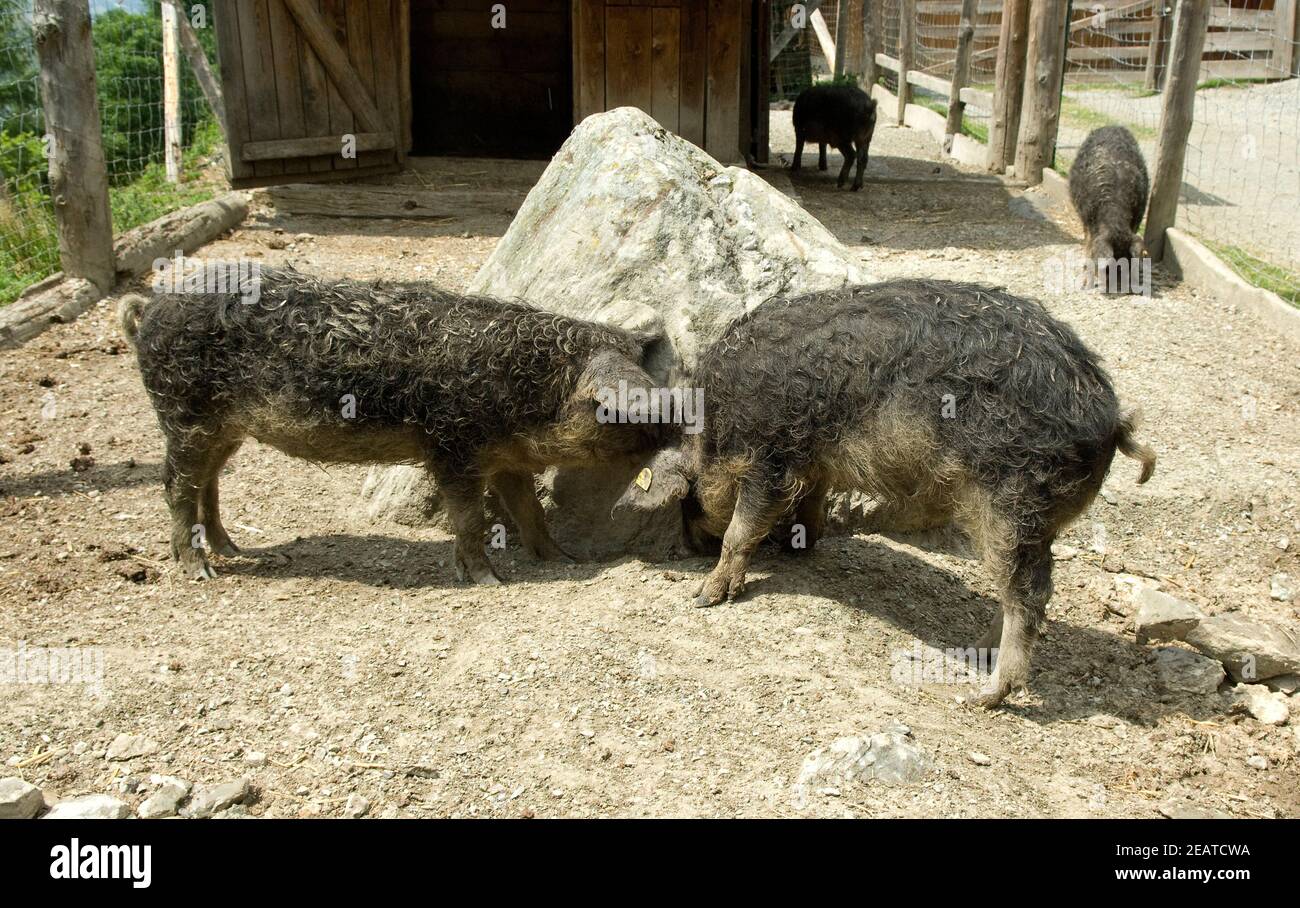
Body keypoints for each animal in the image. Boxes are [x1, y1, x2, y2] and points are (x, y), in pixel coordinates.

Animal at [119, 265, 660, 582]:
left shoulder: (504, 455)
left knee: (207, 481)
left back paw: (234, 549)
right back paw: (200, 573)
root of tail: (151, 305)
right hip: (184, 416)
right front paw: (488, 580)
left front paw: (563, 560)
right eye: (617, 410)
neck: (528, 388)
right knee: (176, 485)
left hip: (225, 429)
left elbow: (530, 509)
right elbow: (470, 517)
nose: (668, 422)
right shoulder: (450, 446)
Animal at [613, 279, 1154, 702]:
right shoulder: (811, 461)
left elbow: (741, 531)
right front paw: (798, 547)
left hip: (1012, 503)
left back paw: (983, 694)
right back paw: (976, 651)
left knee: (1029, 594)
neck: (715, 430)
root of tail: (1112, 418)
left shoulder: (769, 456)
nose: (692, 547)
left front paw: (705, 597)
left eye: (689, 501)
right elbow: (810, 503)